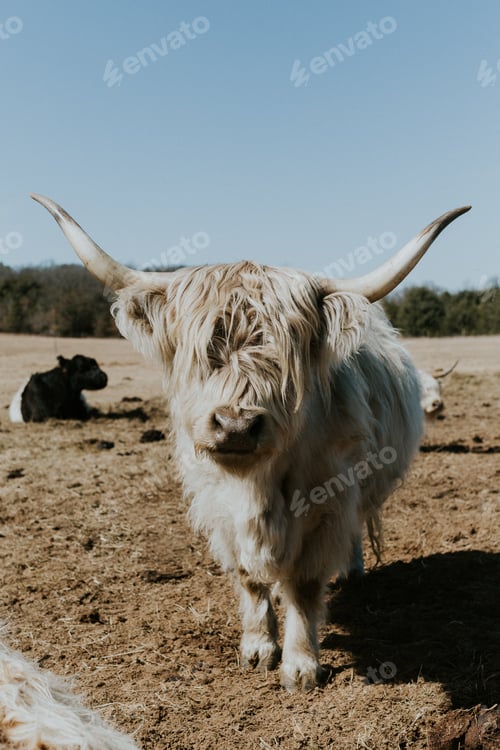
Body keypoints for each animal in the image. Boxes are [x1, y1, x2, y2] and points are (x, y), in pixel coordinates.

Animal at [31, 194, 470, 690]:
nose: (236, 426)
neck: (257, 488)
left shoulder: (327, 500)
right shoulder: (217, 506)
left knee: (354, 530)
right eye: (202, 352)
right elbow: (247, 574)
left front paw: (301, 665)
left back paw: (351, 571)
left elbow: (303, 584)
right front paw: (258, 647)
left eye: (284, 355)